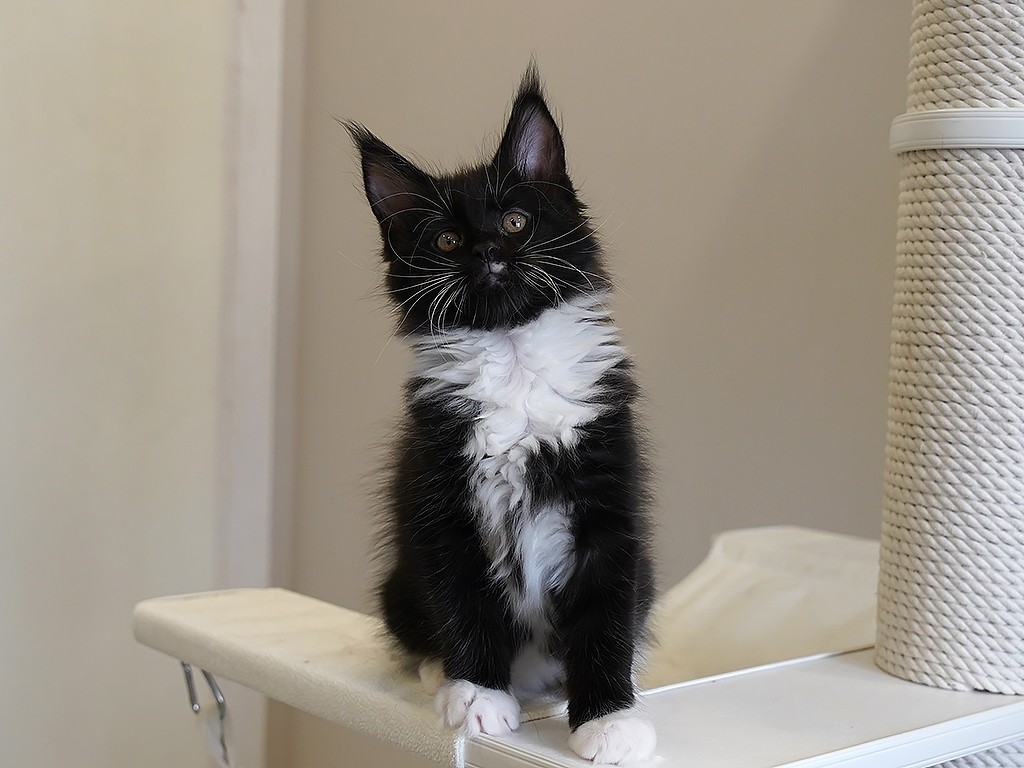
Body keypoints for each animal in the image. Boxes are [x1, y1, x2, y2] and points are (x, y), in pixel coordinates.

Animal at [348, 66, 656, 765]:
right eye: (446, 240)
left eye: (516, 220)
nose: (487, 249)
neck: (514, 362)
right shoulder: (440, 499)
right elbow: (464, 602)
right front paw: (477, 695)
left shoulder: (608, 499)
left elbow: (606, 612)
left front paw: (610, 718)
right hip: (398, 584)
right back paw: (442, 672)